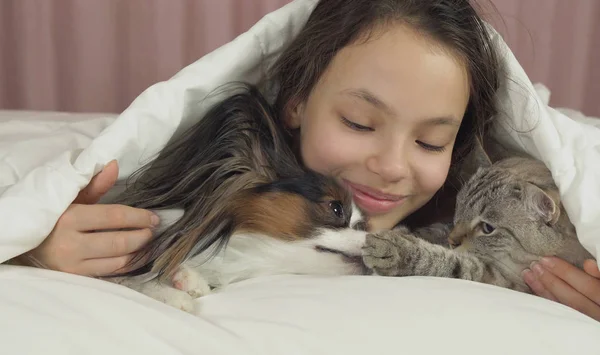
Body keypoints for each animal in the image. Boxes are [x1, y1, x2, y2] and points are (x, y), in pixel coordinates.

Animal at [109, 82, 368, 312]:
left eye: (360, 225)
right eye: (336, 208)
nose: (372, 237)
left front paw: (189, 281)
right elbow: (129, 279)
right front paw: (173, 294)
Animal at [364, 142, 592, 294]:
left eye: (487, 228)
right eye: (459, 207)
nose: (452, 241)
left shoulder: (507, 282)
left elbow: (453, 263)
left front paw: (397, 248)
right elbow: (436, 231)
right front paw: (410, 233)